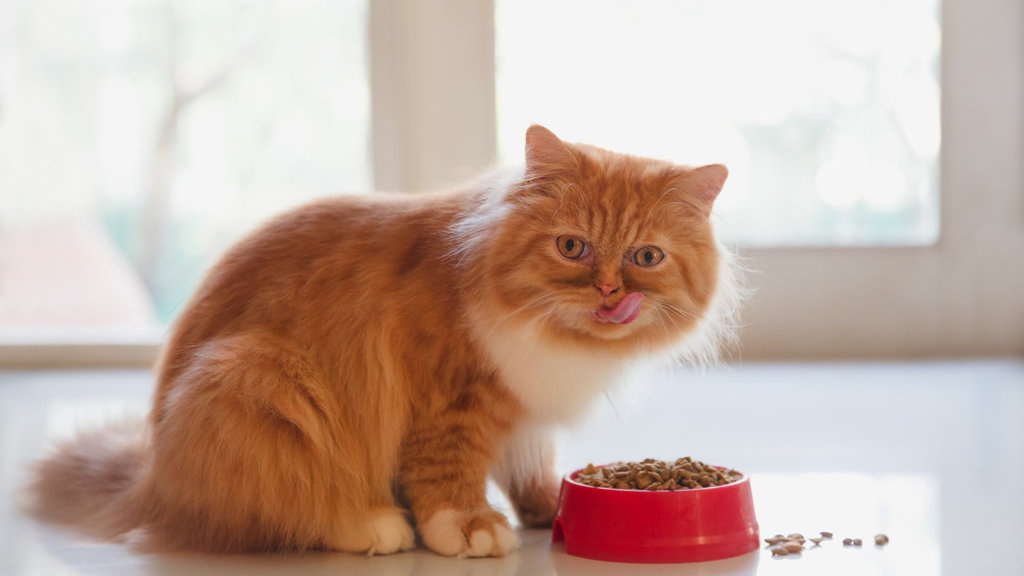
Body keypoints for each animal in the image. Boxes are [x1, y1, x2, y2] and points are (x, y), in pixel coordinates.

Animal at [25, 125, 740, 558]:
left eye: (646, 257)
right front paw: (471, 529)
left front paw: (548, 511)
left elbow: (533, 469)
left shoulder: (526, 416)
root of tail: (150, 477)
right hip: (261, 380)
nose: (610, 292)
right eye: (573, 247)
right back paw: (373, 524)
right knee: (281, 513)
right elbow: (447, 476)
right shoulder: (451, 404)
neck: (561, 341)